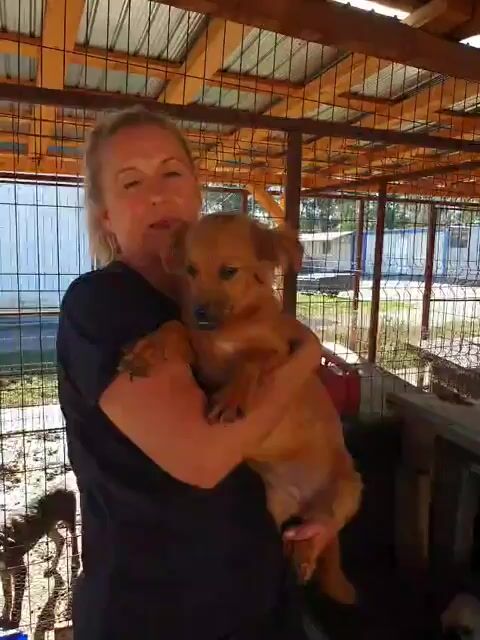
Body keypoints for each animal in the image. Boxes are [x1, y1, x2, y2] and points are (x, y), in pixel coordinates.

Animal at [0, 488, 80, 629]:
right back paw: (52, 568)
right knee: (61, 540)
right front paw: (4, 616)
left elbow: (17, 597)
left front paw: (14, 621)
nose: (11, 543)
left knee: (74, 539)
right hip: (48, 526)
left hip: (69, 519)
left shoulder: (20, 569)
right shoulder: (3, 572)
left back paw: (75, 564)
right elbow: (7, 594)